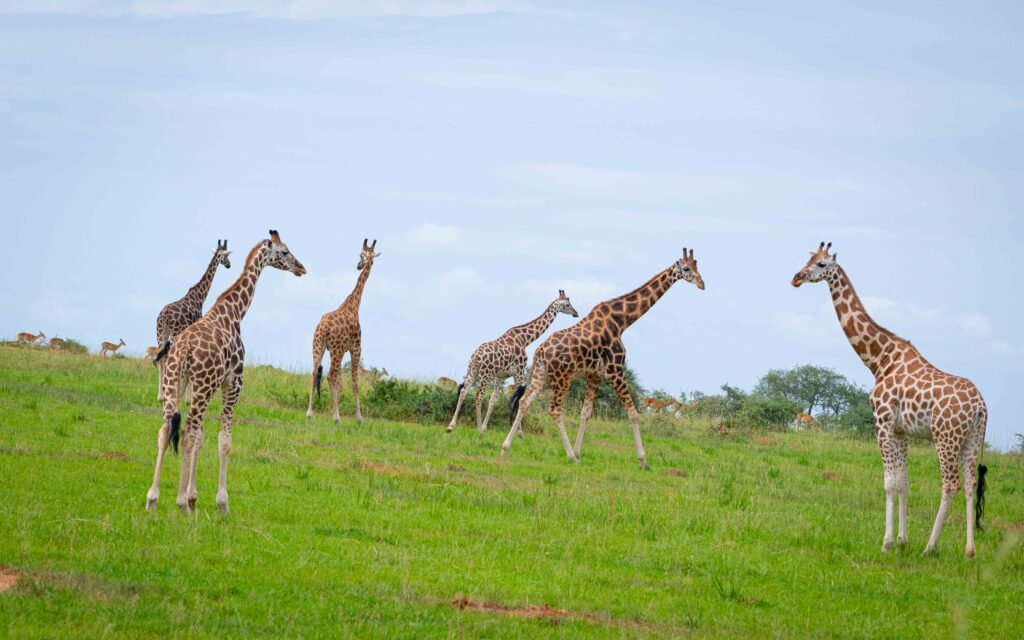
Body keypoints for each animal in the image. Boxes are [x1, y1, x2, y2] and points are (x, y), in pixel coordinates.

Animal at [153, 239, 232, 399]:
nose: (229, 265)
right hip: (174, 333)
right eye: (226, 256)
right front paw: (189, 397)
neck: (200, 296)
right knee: (171, 358)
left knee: (161, 358)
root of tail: (164, 316)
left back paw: (161, 395)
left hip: (161, 334)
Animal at [307, 237, 385, 421]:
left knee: (314, 373)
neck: (354, 304)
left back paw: (309, 414)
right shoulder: (355, 347)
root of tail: (323, 328)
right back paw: (336, 418)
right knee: (330, 375)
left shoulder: (342, 349)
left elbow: (341, 381)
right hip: (335, 350)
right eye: (361, 254)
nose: (359, 265)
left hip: (318, 345)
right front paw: (359, 418)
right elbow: (354, 381)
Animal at [446, 290, 581, 432]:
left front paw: (485, 427)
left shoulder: (502, 376)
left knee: (463, 391)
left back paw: (451, 425)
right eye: (567, 304)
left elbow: (493, 400)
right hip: (485, 374)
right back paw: (477, 428)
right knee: (478, 395)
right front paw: (519, 431)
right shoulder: (519, 371)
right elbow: (518, 397)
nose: (576, 313)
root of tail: (476, 356)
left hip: (473, 371)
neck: (525, 339)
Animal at [501, 246, 704, 466]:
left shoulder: (595, 375)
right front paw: (643, 461)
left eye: (697, 265)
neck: (621, 321)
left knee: (524, 401)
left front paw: (579, 452)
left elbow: (585, 413)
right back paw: (569, 456)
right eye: (686, 268)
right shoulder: (615, 370)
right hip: (562, 378)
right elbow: (632, 412)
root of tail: (539, 351)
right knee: (554, 410)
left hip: (542, 375)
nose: (702, 284)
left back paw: (506, 448)